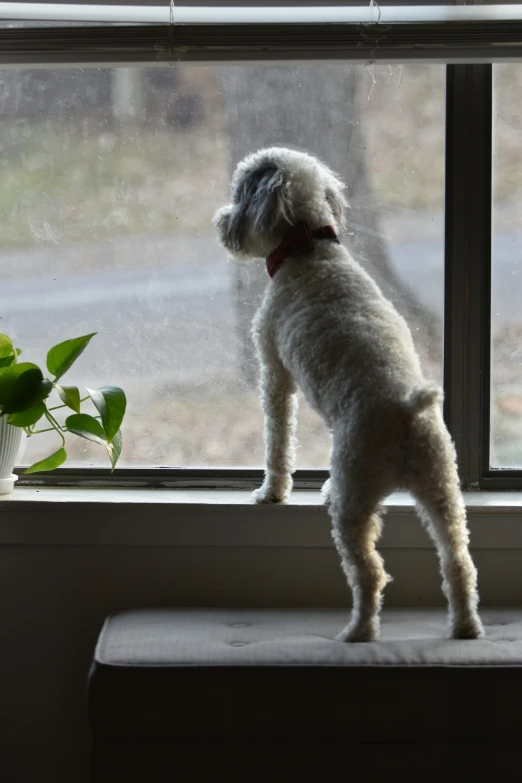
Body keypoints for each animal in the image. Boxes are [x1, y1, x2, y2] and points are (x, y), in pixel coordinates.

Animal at [212, 147, 484, 644]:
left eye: (241, 190)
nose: (223, 221)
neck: (309, 250)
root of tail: (405, 413)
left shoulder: (274, 373)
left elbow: (278, 441)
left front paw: (270, 492)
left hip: (355, 502)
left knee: (370, 573)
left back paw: (358, 631)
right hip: (442, 493)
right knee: (459, 562)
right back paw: (465, 627)